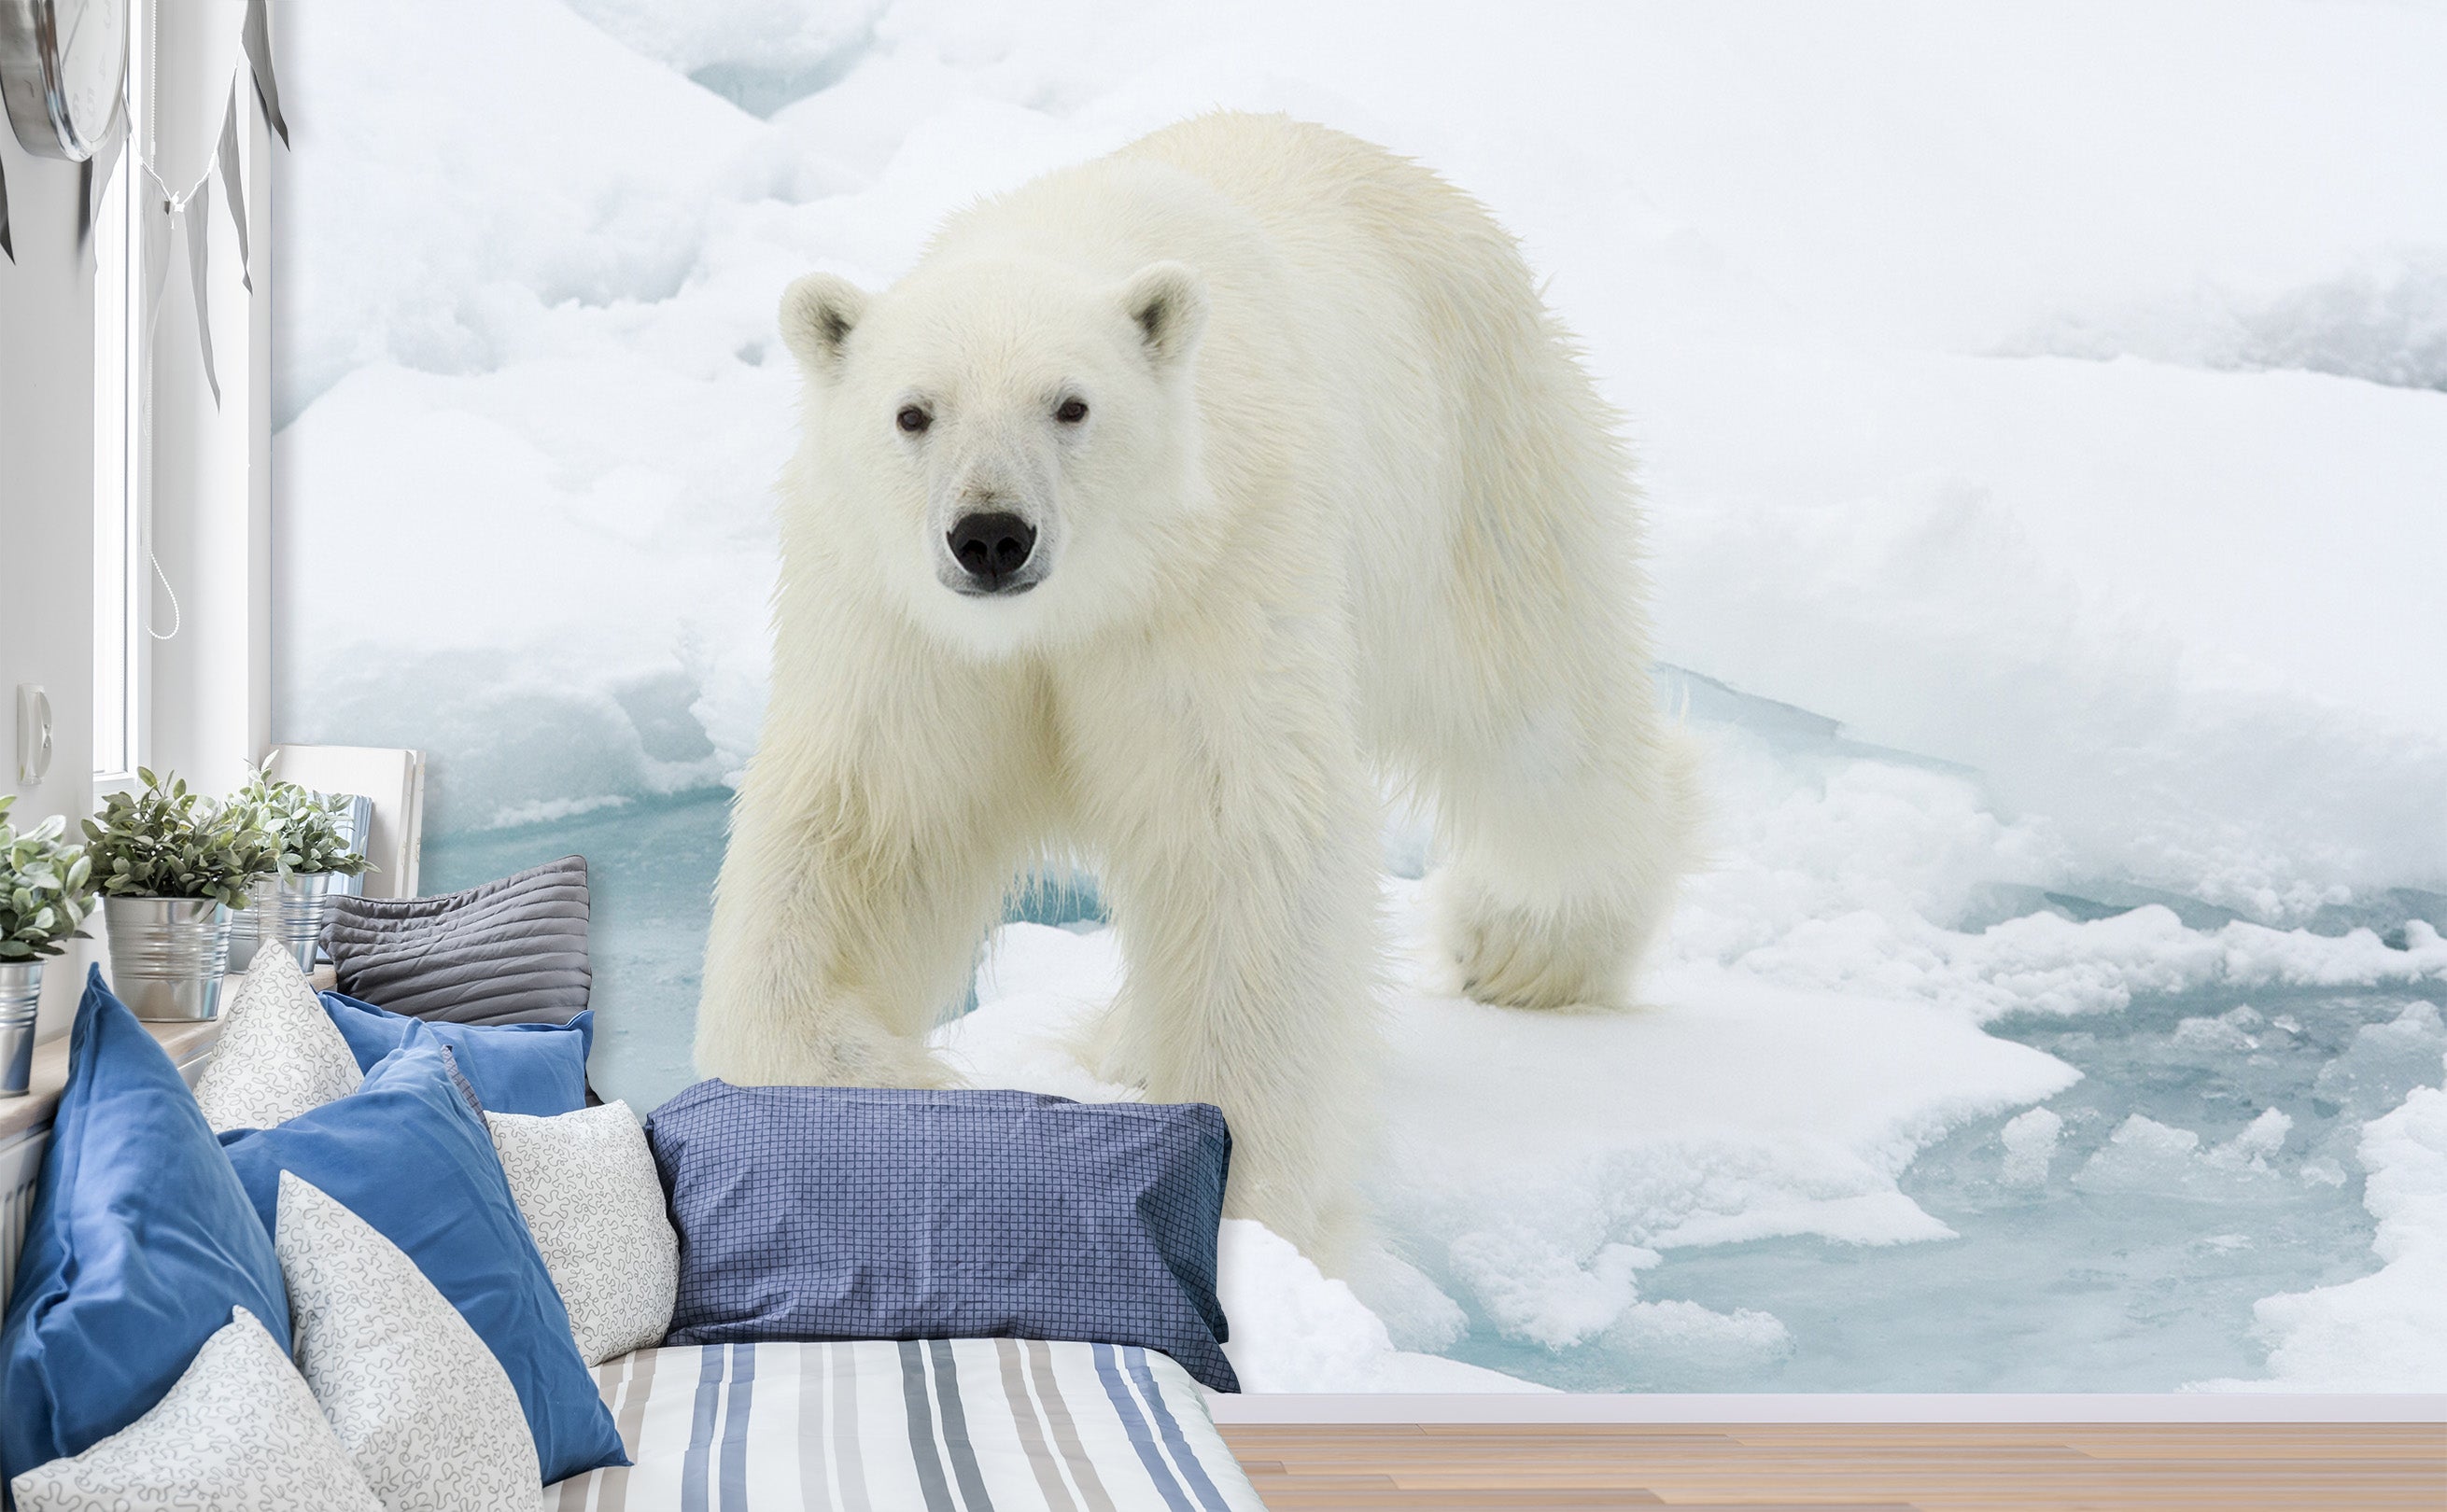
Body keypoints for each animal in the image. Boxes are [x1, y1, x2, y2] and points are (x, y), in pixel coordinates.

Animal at [695, 112, 1696, 1262]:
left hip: (1477, 465)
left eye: (1071, 405)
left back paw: (1523, 948)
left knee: (1540, 730)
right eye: (913, 413)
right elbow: (863, 835)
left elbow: (1237, 839)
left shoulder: (1213, 575)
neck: (1069, 611)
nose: (990, 535)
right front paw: (882, 1100)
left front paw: (1243, 1207)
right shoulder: (903, 626)